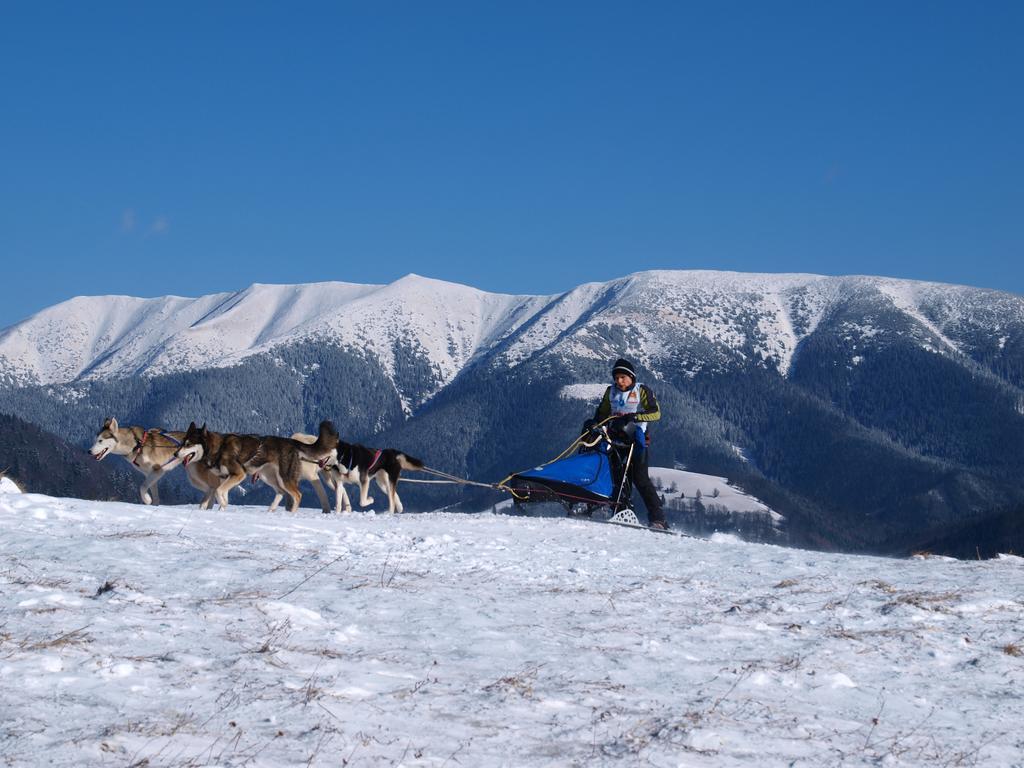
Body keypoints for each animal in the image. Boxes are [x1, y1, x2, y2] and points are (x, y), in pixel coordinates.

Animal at [91, 417, 220, 507]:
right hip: (194, 478)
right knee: (212, 490)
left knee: (213, 488)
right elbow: (154, 495)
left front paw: (147, 500)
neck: (137, 445)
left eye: (100, 440)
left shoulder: (158, 471)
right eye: (95, 440)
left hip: (197, 475)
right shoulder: (151, 475)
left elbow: (142, 487)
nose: (89, 451)